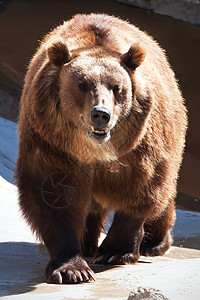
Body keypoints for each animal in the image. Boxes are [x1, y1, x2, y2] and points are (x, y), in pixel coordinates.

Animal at [15, 13, 188, 284]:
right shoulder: (52, 144)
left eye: (117, 87)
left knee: (163, 193)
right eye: (82, 84)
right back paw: (87, 244)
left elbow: (142, 189)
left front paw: (114, 252)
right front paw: (72, 269)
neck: (92, 152)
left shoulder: (139, 148)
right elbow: (53, 195)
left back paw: (154, 243)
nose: (101, 114)